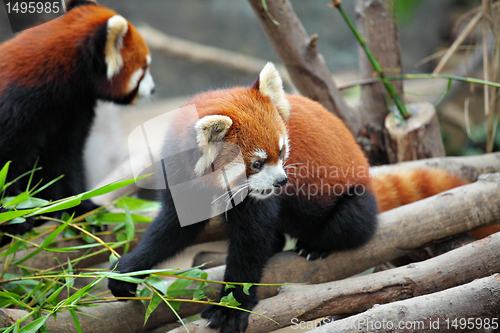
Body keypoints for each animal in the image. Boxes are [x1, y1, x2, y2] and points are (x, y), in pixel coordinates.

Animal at [0, 0, 154, 235]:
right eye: (144, 67)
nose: (153, 89)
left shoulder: (71, 110)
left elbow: (64, 162)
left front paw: (78, 207)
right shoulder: (15, 108)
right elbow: (6, 164)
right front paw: (13, 214)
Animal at [109, 63, 468, 332]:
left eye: (281, 152)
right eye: (256, 163)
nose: (282, 180)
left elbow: (250, 242)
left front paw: (232, 307)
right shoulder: (182, 179)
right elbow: (172, 230)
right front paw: (128, 269)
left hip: (356, 197)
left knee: (351, 224)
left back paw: (316, 245)